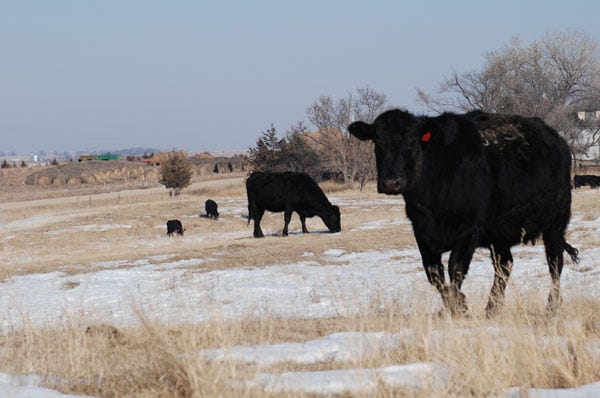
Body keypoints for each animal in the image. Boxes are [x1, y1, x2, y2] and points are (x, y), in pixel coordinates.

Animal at [350, 109, 580, 318]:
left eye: (412, 142)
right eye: (377, 143)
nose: (391, 182)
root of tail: (557, 139)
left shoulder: (469, 229)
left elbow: (455, 268)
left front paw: (460, 307)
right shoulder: (421, 231)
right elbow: (434, 273)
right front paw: (457, 305)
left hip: (556, 223)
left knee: (555, 263)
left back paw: (551, 307)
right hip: (499, 235)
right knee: (505, 265)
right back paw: (492, 309)